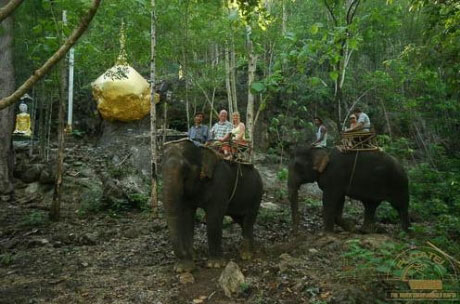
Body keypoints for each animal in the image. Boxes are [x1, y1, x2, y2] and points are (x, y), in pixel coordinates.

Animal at [162, 139, 262, 272]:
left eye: (185, 172)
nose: (187, 255)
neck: (202, 150)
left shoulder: (220, 183)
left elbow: (214, 217)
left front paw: (215, 265)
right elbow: (187, 216)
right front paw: (184, 267)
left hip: (256, 194)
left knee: (248, 221)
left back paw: (246, 255)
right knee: (240, 220)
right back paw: (252, 249)